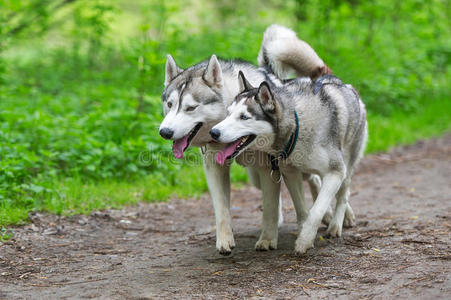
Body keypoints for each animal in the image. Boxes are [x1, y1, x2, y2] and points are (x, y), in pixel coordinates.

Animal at [211, 72, 368, 253]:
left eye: (243, 117)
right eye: (228, 113)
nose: (213, 132)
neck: (296, 127)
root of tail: (345, 85)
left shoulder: (335, 172)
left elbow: (317, 209)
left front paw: (305, 240)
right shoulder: (290, 173)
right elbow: (301, 206)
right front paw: (302, 230)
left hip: (347, 166)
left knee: (343, 194)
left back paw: (336, 225)